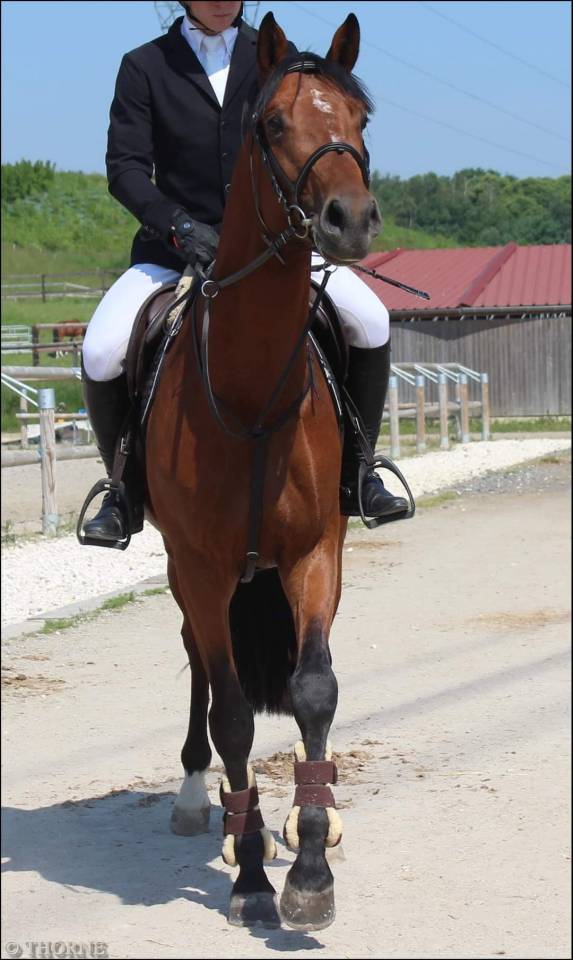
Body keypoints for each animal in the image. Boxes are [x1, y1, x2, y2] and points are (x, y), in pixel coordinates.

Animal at [145, 12, 381, 931]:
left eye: (360, 117)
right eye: (273, 123)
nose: (349, 218)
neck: (248, 388)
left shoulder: (315, 552)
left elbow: (313, 689)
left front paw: (308, 863)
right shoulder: (203, 568)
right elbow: (237, 715)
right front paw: (249, 874)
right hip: (188, 574)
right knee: (205, 674)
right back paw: (197, 800)